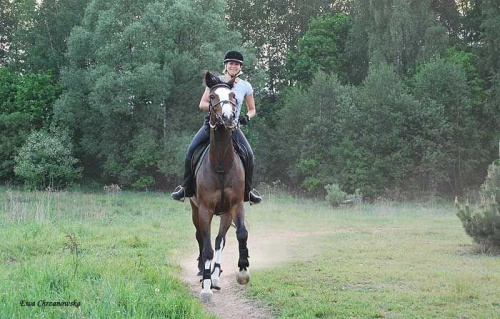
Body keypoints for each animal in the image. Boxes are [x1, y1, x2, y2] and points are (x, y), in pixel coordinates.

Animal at [188, 70, 249, 302]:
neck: (222, 163)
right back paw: (202, 272)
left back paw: (215, 275)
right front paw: (205, 288)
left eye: (233, 96)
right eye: (212, 96)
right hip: (195, 209)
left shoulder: (235, 206)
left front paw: (243, 271)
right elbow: (206, 248)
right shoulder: (205, 209)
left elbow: (239, 235)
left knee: (218, 240)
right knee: (200, 238)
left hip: (224, 213)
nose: (229, 118)